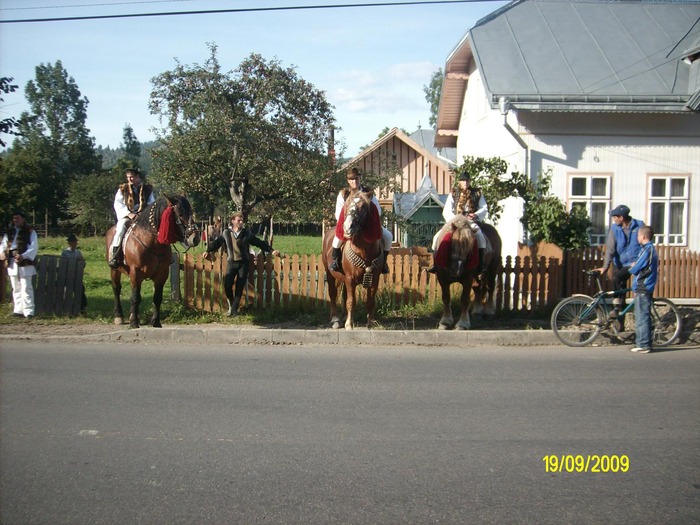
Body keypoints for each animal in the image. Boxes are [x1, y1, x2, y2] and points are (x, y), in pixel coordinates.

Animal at [106, 194, 200, 328]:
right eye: (180, 214)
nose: (195, 238)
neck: (152, 243)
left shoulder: (161, 275)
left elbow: (157, 298)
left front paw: (155, 321)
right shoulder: (135, 273)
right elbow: (135, 297)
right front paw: (133, 322)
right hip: (115, 270)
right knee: (116, 289)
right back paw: (119, 316)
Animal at [322, 190, 382, 330]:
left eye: (364, 207)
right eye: (347, 205)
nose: (347, 227)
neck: (364, 251)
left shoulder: (375, 279)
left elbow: (370, 301)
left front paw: (370, 322)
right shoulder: (350, 279)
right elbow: (351, 301)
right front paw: (349, 324)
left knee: (343, 295)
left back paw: (344, 316)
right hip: (330, 273)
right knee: (333, 293)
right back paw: (336, 319)